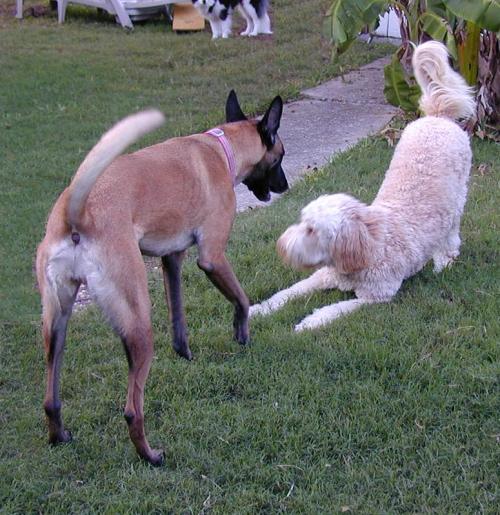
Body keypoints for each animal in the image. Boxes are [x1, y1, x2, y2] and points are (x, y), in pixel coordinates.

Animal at [36, 90, 286, 466]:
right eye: (280, 156)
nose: (285, 185)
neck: (221, 148)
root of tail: (76, 212)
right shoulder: (212, 258)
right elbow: (241, 299)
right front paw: (242, 335)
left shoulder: (172, 260)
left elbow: (178, 318)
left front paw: (186, 355)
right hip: (138, 322)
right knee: (131, 410)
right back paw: (150, 455)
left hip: (57, 323)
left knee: (51, 399)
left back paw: (59, 436)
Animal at [250, 39, 476, 330]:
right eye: (302, 222)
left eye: (311, 230)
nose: (281, 245)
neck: (368, 243)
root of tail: (438, 115)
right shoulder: (322, 276)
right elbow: (287, 292)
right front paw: (259, 309)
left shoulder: (375, 297)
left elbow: (331, 311)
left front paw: (308, 324)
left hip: (457, 200)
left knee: (451, 236)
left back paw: (443, 262)